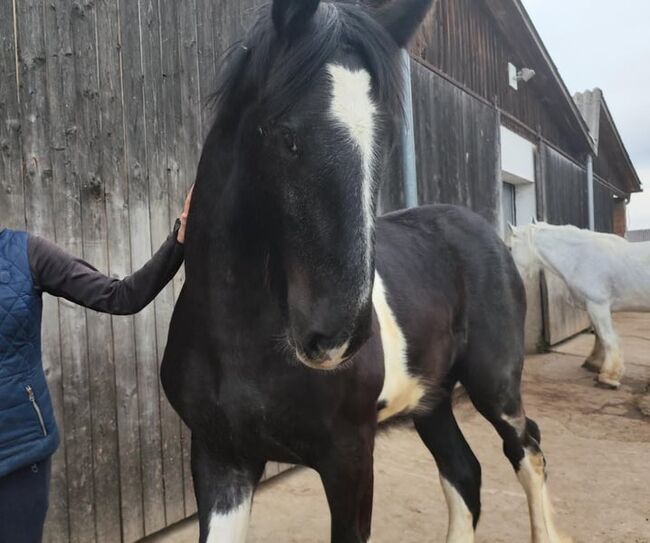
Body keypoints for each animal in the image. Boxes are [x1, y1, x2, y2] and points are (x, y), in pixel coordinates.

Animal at [161, 1, 568, 543]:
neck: (237, 337)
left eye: (388, 140)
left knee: (527, 451)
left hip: (494, 385)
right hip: (431, 400)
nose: (334, 338)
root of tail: (486, 232)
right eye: (286, 136)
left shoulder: (350, 458)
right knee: (464, 471)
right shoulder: (220, 456)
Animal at [506, 223, 648, 388]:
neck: (580, 258)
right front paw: (595, 363)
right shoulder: (594, 307)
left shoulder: (597, 305)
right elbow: (599, 336)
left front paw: (608, 377)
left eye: (509, 248)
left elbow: (607, 338)